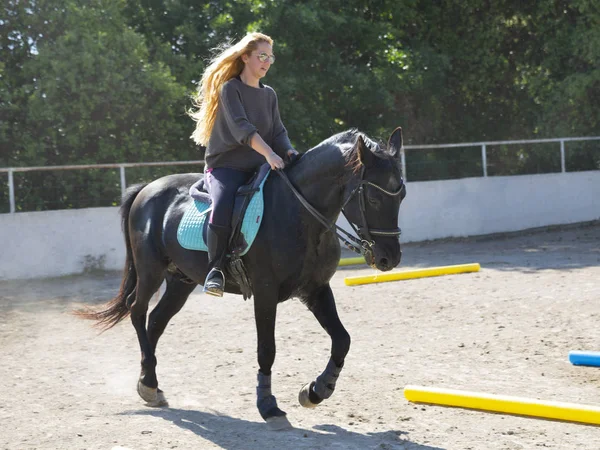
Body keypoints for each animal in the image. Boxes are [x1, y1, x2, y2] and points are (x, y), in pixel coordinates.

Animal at [79, 126, 406, 428]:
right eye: (373, 199)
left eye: (401, 195)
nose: (390, 258)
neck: (299, 213)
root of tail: (148, 188)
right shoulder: (265, 292)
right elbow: (267, 349)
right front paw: (268, 405)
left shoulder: (315, 289)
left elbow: (342, 339)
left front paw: (316, 390)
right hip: (151, 271)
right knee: (137, 311)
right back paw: (148, 383)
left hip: (181, 281)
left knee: (156, 320)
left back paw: (151, 384)